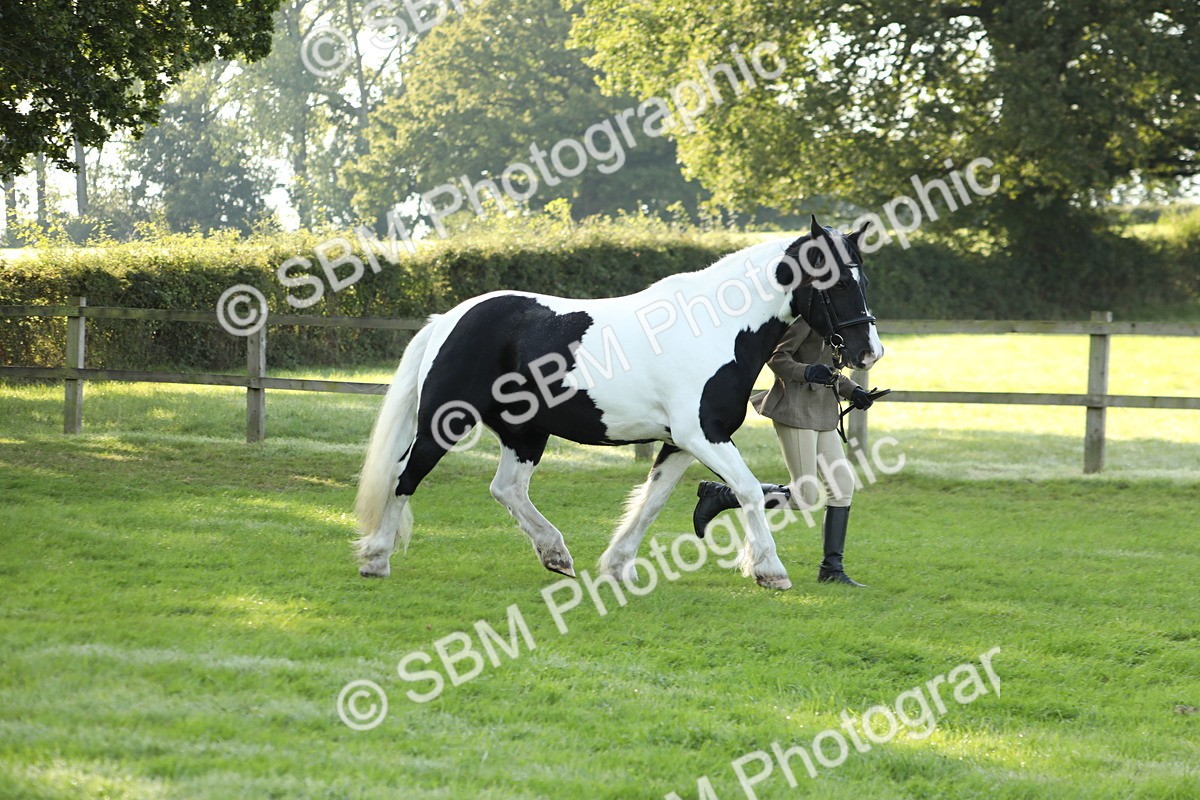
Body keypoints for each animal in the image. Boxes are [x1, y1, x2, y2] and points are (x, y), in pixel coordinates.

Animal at [354, 216, 883, 590]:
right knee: (405, 477)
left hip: (525, 432)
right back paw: (376, 558)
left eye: (864, 281)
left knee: (506, 489)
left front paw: (616, 565)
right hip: (445, 423)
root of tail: (449, 319)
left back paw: (556, 554)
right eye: (837, 282)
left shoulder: (682, 442)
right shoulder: (703, 434)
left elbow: (651, 503)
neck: (716, 328)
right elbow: (750, 490)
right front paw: (770, 570)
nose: (869, 352)